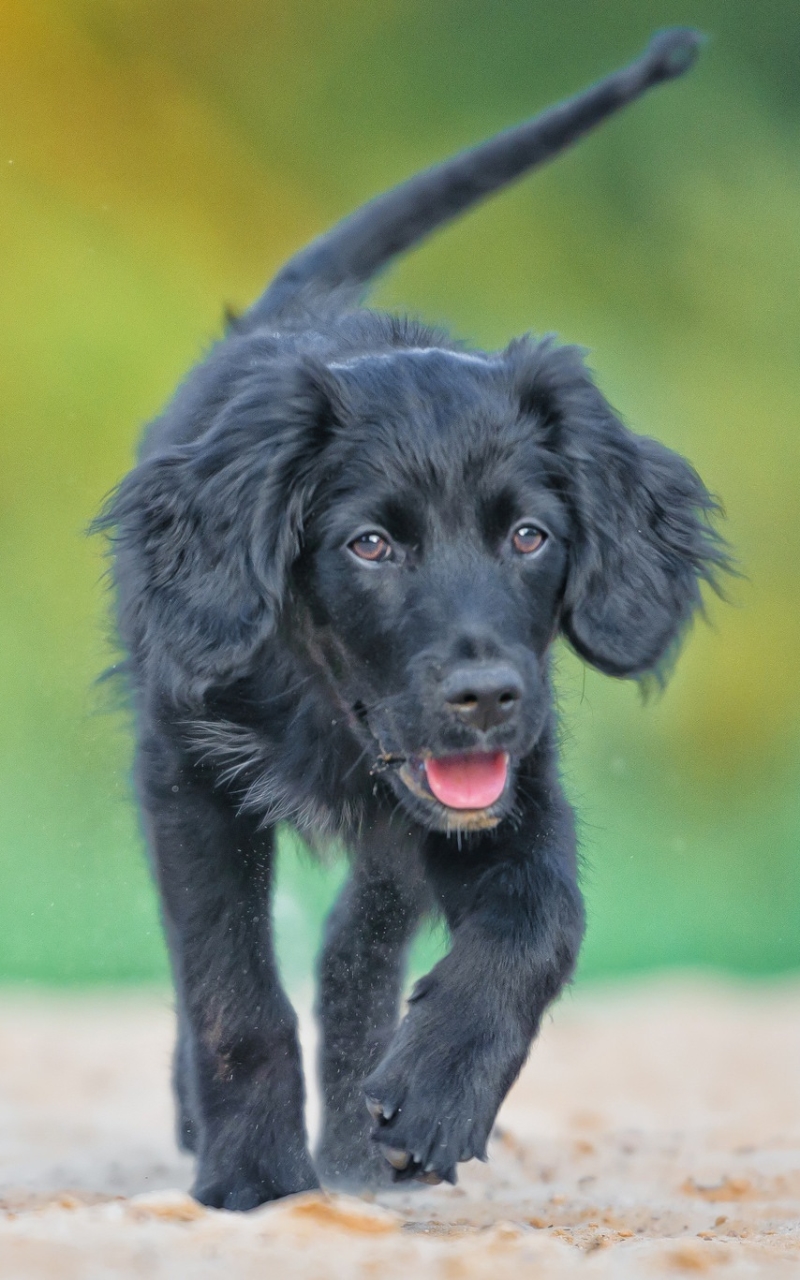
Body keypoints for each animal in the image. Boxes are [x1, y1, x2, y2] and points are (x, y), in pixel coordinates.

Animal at [98, 32, 721, 1208]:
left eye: (528, 535)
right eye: (369, 546)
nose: (482, 695)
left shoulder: (513, 781)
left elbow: (541, 921)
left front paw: (431, 1095)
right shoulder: (185, 768)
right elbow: (228, 984)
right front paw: (255, 1176)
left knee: (359, 941)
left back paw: (359, 1124)